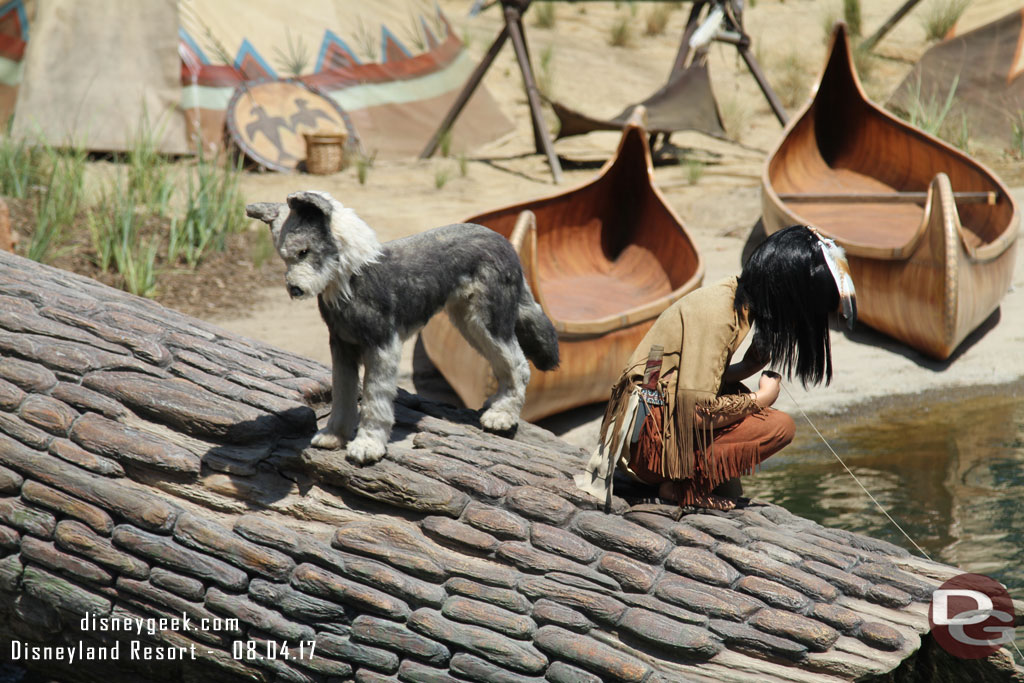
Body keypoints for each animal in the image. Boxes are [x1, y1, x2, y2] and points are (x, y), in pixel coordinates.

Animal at [246, 189, 561, 462]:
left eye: (303, 252)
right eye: (283, 257)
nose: (294, 289)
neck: (352, 277)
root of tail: (505, 243)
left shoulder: (382, 347)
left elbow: (374, 398)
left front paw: (367, 446)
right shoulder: (342, 346)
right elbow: (342, 393)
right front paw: (334, 436)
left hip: (487, 321)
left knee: (518, 363)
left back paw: (502, 416)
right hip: (470, 323)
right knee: (504, 364)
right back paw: (496, 404)